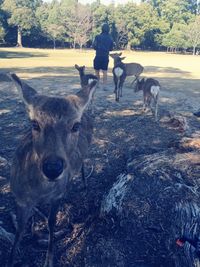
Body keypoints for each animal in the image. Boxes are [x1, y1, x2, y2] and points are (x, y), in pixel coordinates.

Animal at [7, 73, 98, 267]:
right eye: (34, 124)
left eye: (75, 125)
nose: (53, 168)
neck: (39, 192)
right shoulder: (20, 199)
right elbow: (19, 231)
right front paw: (10, 259)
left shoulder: (57, 195)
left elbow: (51, 223)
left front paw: (48, 260)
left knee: (83, 164)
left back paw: (84, 183)